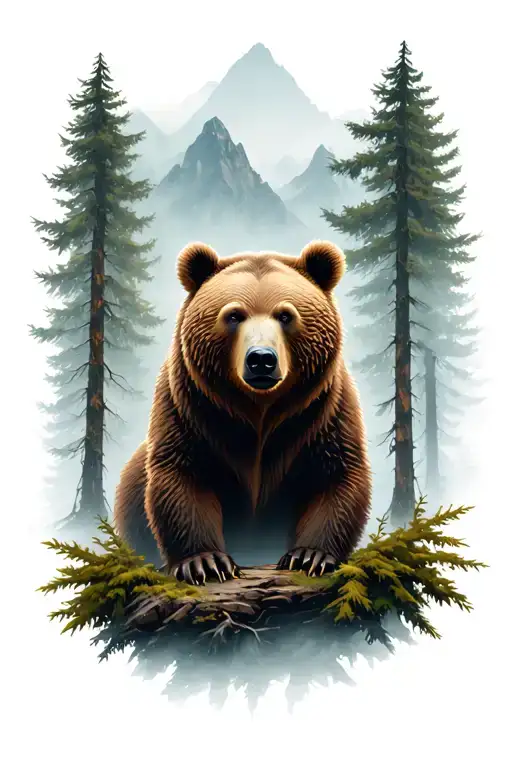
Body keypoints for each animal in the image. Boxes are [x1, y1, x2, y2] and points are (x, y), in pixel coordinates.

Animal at [114, 240, 372, 586]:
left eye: (285, 315)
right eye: (234, 315)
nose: (261, 358)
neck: (258, 410)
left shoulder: (322, 412)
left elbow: (335, 475)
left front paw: (310, 557)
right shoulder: (190, 410)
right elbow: (183, 475)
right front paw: (206, 562)